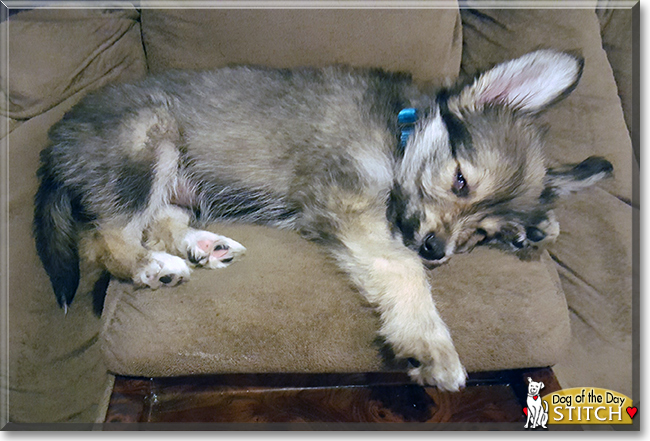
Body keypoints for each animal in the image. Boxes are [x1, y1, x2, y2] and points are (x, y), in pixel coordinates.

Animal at [34, 49, 612, 392]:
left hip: (177, 183)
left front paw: (537, 232)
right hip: (147, 144)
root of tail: (56, 143)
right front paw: (432, 347)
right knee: (106, 239)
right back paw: (153, 268)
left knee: (157, 222)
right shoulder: (352, 206)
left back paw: (203, 247)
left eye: (480, 235)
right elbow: (402, 270)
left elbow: (395, 264)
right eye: (460, 181)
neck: (400, 133)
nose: (436, 250)